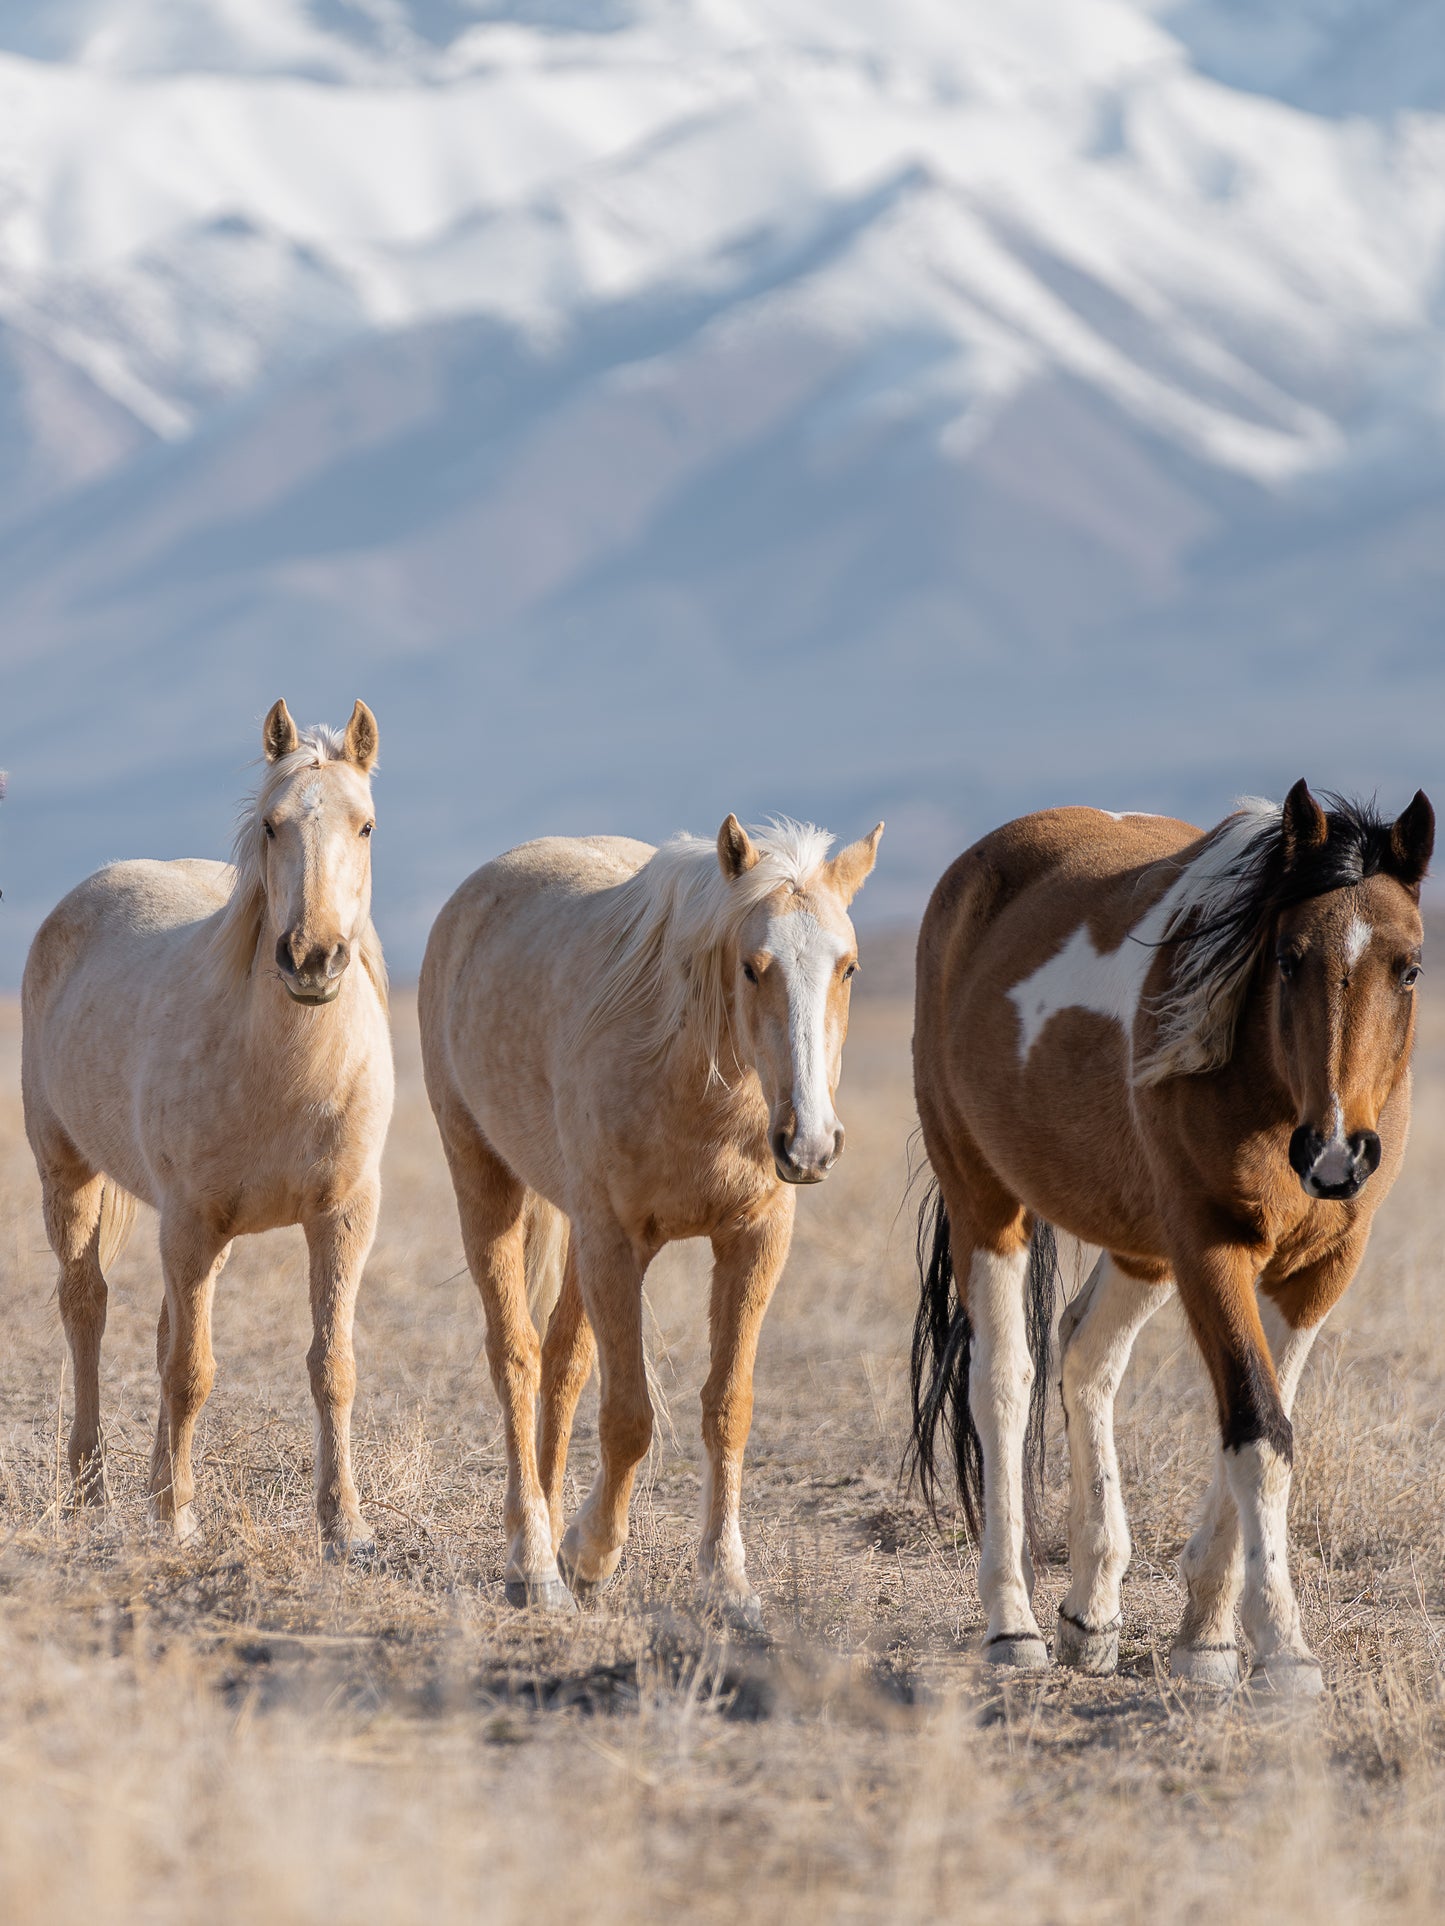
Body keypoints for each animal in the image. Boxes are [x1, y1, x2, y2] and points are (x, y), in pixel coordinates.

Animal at [24, 701, 396, 1556]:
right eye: (269, 824)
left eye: (364, 825)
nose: (312, 959)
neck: (287, 1071)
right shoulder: (191, 1222)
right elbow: (191, 1371)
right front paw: (178, 1519)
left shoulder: (342, 1218)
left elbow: (332, 1365)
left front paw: (346, 1525)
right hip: (69, 1175)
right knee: (86, 1308)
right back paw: (91, 1492)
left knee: (163, 1328)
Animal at [421, 812, 882, 1625]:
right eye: (751, 967)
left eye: (848, 968)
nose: (810, 1143)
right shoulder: (615, 1242)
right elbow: (629, 1418)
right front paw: (590, 1557)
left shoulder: (754, 1240)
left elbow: (727, 1407)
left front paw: (726, 1581)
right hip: (484, 1180)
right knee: (515, 1358)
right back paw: (532, 1559)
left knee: (562, 1363)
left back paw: (547, 1524)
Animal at [909, 778, 1433, 1687]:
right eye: (1286, 957)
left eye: (1408, 966)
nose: (1335, 1153)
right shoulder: (1208, 1248)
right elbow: (1257, 1427)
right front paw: (1281, 1647)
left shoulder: (1318, 1270)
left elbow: (1261, 1422)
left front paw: (1207, 1637)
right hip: (984, 1198)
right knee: (1003, 1381)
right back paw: (1012, 1627)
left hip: (1137, 1246)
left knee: (1084, 1353)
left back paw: (1089, 1614)